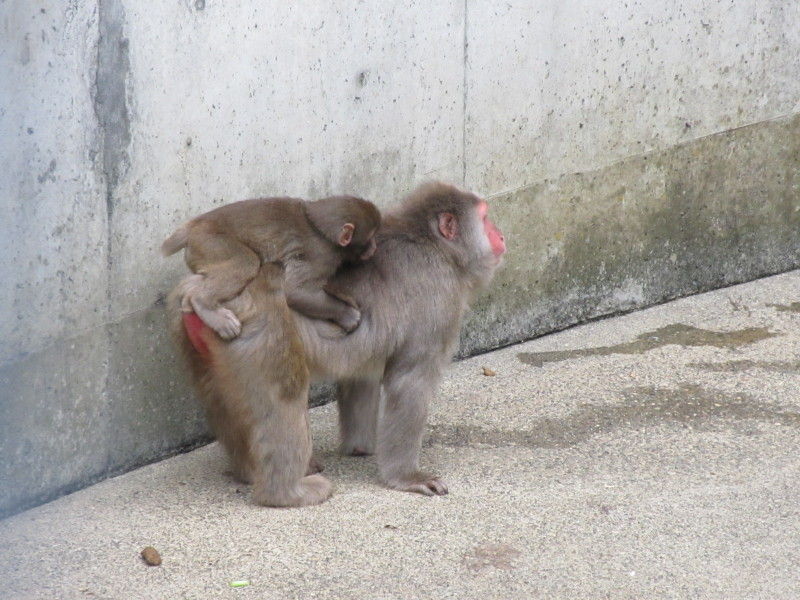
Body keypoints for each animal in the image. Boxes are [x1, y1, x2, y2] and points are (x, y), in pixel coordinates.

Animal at [162, 196, 382, 340]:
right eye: (370, 237)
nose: (374, 247)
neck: (320, 230)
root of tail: (194, 225)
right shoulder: (321, 256)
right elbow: (295, 292)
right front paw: (347, 315)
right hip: (210, 241)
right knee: (246, 263)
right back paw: (204, 304)